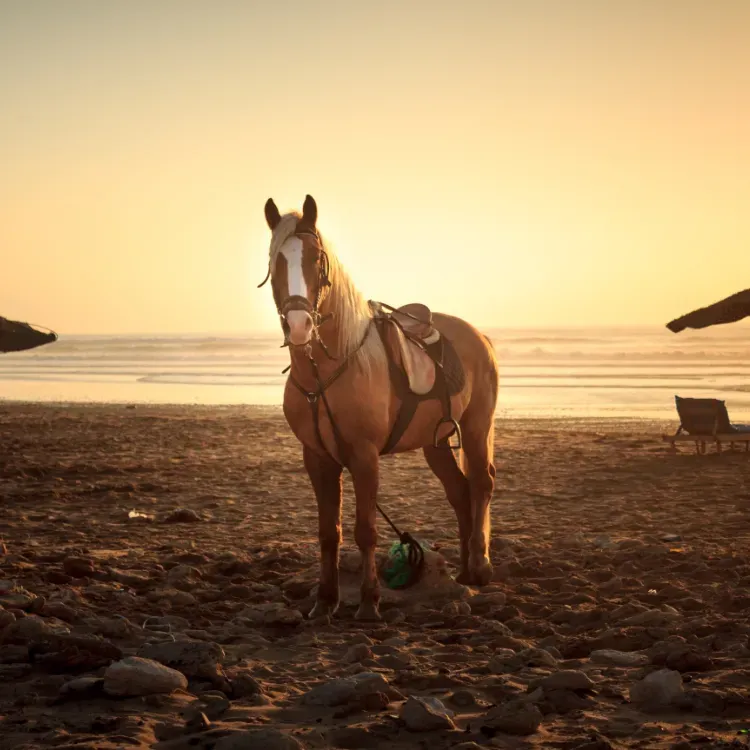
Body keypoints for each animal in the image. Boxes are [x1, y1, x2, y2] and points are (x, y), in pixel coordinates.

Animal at [260, 194, 500, 624]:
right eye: (276, 262)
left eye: (317, 260)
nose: (300, 326)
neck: (332, 369)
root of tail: (479, 336)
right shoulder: (318, 458)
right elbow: (329, 532)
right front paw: (325, 602)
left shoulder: (365, 457)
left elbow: (366, 531)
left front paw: (369, 603)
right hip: (435, 442)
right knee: (460, 491)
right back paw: (463, 571)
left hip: (476, 427)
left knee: (482, 484)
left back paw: (480, 566)